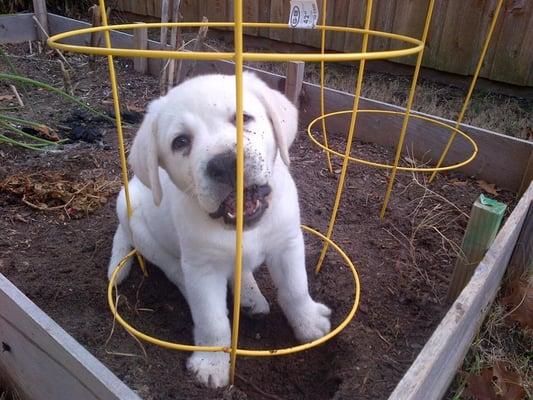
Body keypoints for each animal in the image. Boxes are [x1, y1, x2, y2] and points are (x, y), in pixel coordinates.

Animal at [108, 72, 330, 388]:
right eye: (180, 142)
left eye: (244, 118)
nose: (225, 164)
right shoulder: (203, 267)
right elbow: (212, 321)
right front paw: (211, 363)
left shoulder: (287, 242)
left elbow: (296, 288)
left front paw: (308, 323)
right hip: (136, 222)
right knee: (175, 270)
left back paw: (251, 296)